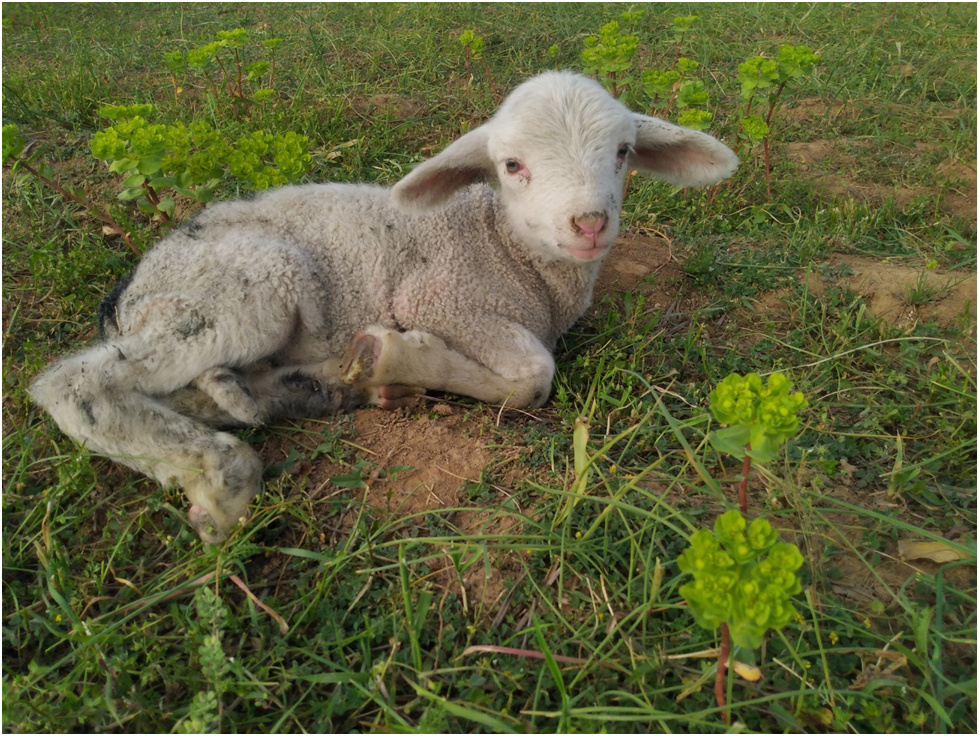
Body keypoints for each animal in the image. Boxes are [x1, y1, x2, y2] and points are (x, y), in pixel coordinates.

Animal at [28, 70, 736, 540]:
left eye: (623, 152)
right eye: (511, 165)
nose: (589, 223)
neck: (504, 246)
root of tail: (130, 289)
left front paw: (380, 368)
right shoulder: (441, 296)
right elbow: (534, 375)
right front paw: (401, 356)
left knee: (194, 391)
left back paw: (318, 390)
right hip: (245, 288)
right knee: (78, 383)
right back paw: (222, 472)